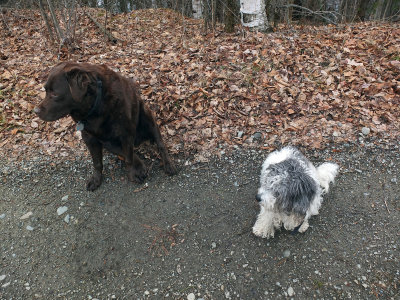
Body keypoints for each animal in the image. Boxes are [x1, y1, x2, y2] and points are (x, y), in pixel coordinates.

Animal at [33, 62, 177, 191]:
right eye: (45, 90)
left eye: (55, 94)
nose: (35, 111)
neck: (95, 104)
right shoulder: (89, 138)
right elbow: (98, 163)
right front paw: (96, 179)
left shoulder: (126, 133)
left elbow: (128, 158)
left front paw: (132, 174)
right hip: (108, 143)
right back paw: (140, 165)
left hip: (147, 116)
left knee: (159, 144)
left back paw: (168, 164)